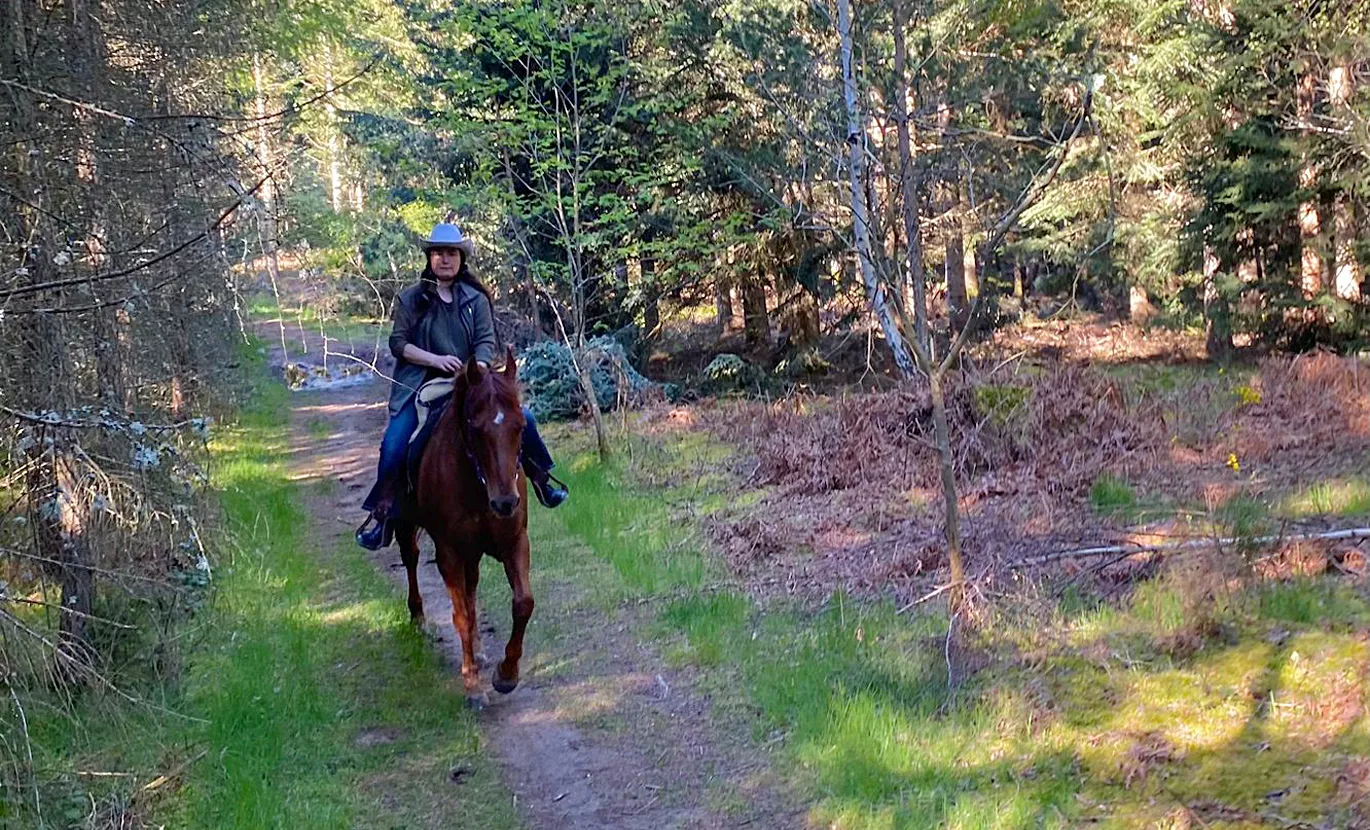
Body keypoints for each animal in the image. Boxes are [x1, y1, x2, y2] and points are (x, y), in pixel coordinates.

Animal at [394, 347, 531, 712]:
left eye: (521, 426)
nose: (505, 503)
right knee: (411, 559)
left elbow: (523, 603)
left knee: (472, 588)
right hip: (407, 526)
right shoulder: (449, 552)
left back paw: (480, 650)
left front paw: (506, 674)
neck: (477, 485)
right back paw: (420, 620)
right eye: (476, 428)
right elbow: (460, 616)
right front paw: (472, 685)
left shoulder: (515, 542)